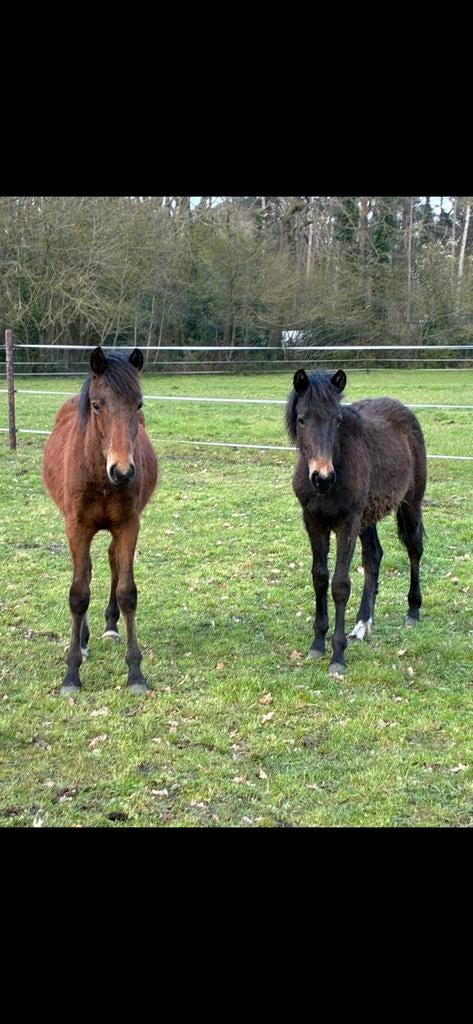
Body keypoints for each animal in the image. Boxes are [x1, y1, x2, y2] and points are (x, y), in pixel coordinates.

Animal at [43, 346, 158, 695]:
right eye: (97, 405)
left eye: (139, 404)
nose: (122, 471)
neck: (100, 477)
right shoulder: (77, 528)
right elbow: (79, 593)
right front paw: (71, 673)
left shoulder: (128, 526)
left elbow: (127, 592)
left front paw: (135, 672)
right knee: (88, 573)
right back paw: (82, 641)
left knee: (111, 563)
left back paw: (109, 625)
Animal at [286, 368, 427, 676]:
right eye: (302, 419)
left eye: (337, 420)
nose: (323, 477)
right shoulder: (313, 522)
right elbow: (319, 577)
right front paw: (317, 643)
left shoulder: (346, 523)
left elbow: (340, 584)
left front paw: (337, 656)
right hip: (368, 517)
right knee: (374, 556)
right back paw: (363, 624)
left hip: (410, 504)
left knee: (414, 550)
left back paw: (413, 611)